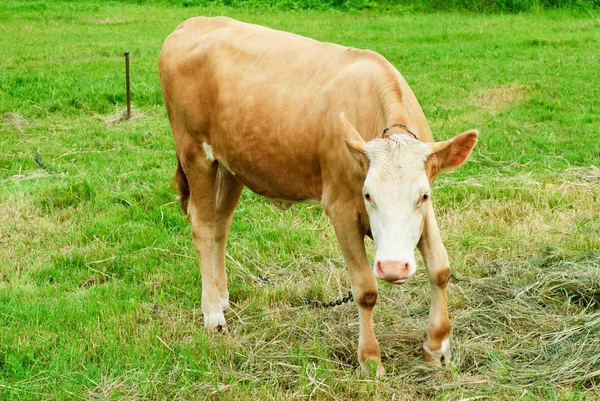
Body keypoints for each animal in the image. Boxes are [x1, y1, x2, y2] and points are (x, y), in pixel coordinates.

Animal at [159, 14, 478, 372]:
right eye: (368, 195)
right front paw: (370, 359)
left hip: (230, 165)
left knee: (219, 225)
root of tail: (193, 22)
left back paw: (222, 296)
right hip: (194, 152)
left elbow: (440, 269)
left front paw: (437, 346)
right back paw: (213, 312)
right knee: (201, 226)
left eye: (423, 195)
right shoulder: (340, 208)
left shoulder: (426, 214)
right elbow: (365, 289)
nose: (394, 267)